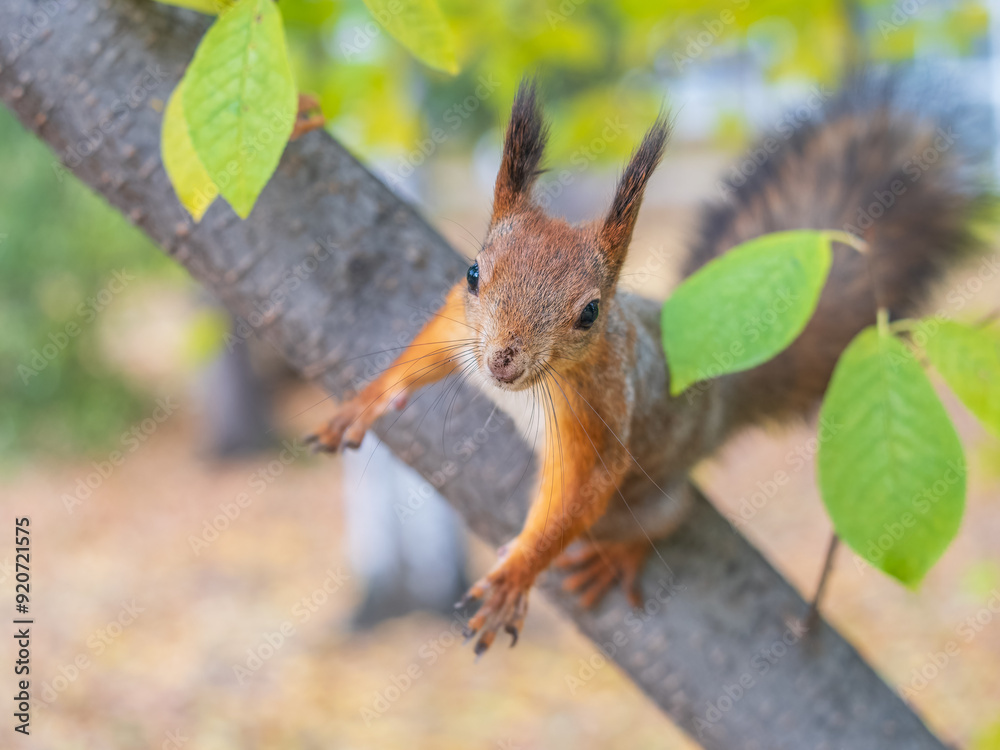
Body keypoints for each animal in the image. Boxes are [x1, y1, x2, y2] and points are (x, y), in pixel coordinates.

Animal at [307, 75, 990, 655]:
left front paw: (517, 575)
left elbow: (572, 500)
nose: (502, 362)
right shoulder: (457, 324)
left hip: (654, 493)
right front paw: (363, 402)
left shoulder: (599, 416)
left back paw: (617, 557)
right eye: (474, 273)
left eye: (590, 312)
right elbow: (421, 357)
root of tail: (717, 401)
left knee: (662, 519)